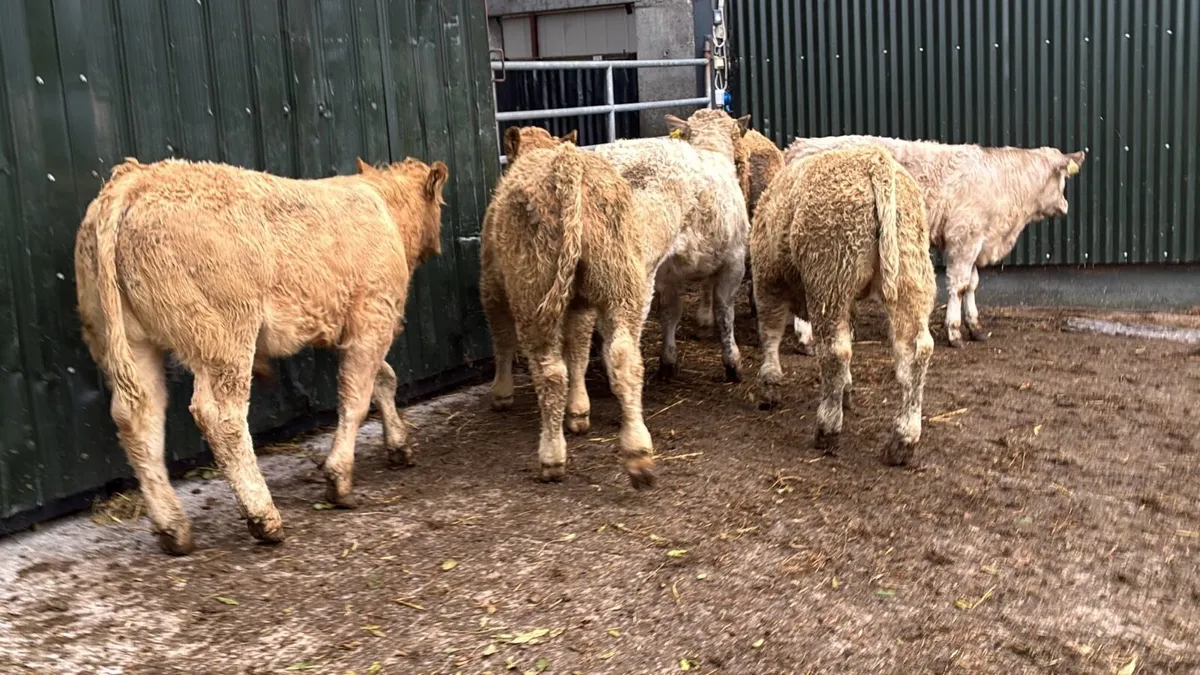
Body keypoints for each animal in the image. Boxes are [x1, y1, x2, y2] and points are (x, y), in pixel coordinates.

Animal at [74, 155, 448, 554]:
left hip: (129, 341)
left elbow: (383, 379)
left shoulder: (351, 327)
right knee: (221, 418)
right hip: (225, 336)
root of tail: (135, 180)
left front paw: (398, 444)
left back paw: (173, 528)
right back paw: (263, 515)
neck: (384, 207)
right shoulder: (373, 316)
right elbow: (356, 398)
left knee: (139, 417)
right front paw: (340, 478)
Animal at [752, 144, 936, 465]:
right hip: (910, 272)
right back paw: (903, 441)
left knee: (835, 351)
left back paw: (827, 429)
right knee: (915, 351)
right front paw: (847, 390)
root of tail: (875, 161)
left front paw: (770, 384)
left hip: (830, 274)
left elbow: (770, 332)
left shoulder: (767, 280)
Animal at [785, 135, 1085, 348]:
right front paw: (954, 332)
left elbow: (972, 284)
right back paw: (806, 338)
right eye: (1062, 179)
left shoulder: (977, 241)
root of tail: (801, 145)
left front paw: (975, 327)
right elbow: (959, 285)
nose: (1066, 206)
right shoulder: (963, 238)